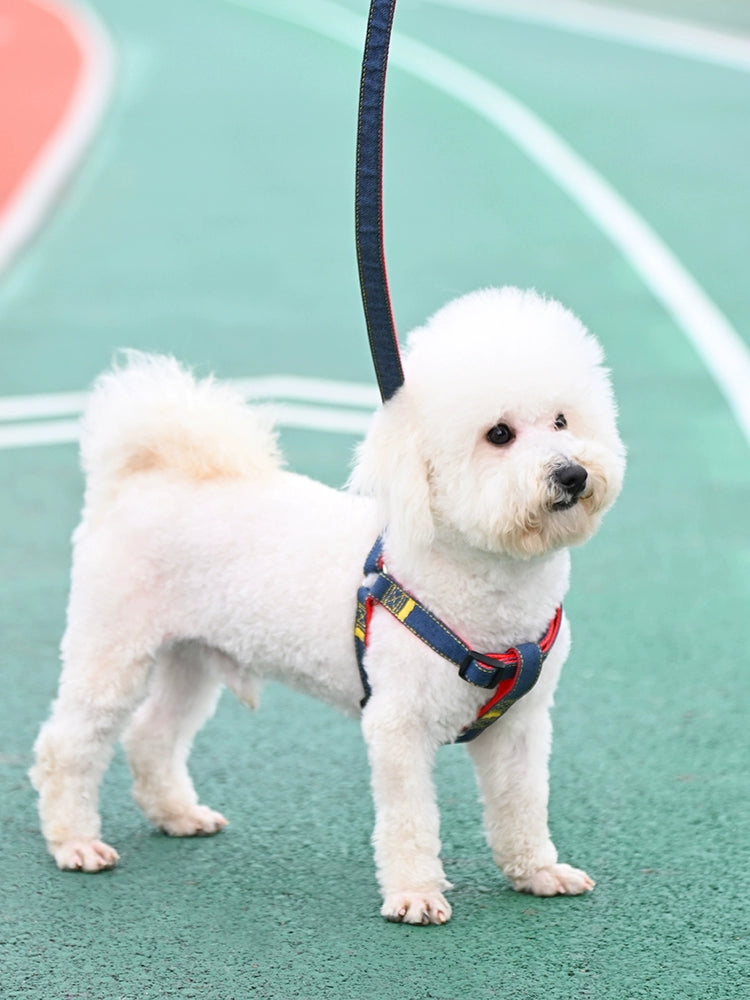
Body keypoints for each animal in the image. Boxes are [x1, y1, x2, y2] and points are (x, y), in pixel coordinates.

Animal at [29, 288, 624, 920]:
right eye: (500, 434)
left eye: (561, 420)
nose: (573, 473)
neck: (484, 582)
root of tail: (140, 477)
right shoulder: (397, 725)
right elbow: (410, 820)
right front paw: (415, 894)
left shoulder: (520, 726)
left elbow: (523, 805)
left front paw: (537, 872)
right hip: (112, 648)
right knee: (67, 745)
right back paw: (74, 842)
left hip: (191, 654)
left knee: (151, 734)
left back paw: (177, 815)